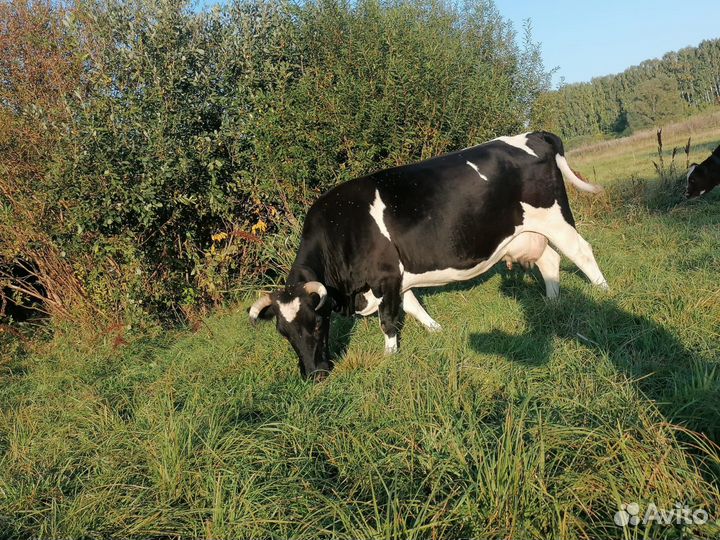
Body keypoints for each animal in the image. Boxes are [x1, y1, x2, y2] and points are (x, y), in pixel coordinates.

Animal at [249, 131, 608, 380]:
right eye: (283, 332)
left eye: (317, 323)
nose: (314, 375)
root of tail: (534, 134)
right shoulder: (396, 279)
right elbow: (414, 307)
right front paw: (437, 331)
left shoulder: (385, 276)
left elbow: (388, 321)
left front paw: (390, 358)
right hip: (528, 233)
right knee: (550, 260)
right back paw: (552, 304)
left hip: (554, 217)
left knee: (581, 251)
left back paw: (604, 293)